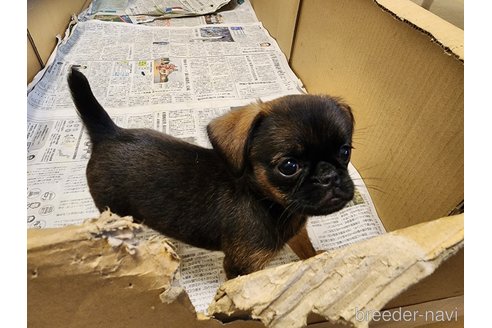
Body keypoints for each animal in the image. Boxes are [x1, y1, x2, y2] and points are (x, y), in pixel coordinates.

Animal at [68, 68, 354, 278]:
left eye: (344, 151)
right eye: (289, 167)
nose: (329, 177)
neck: (267, 202)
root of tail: (109, 134)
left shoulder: (296, 232)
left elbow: (307, 250)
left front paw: (318, 262)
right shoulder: (241, 267)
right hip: (115, 211)